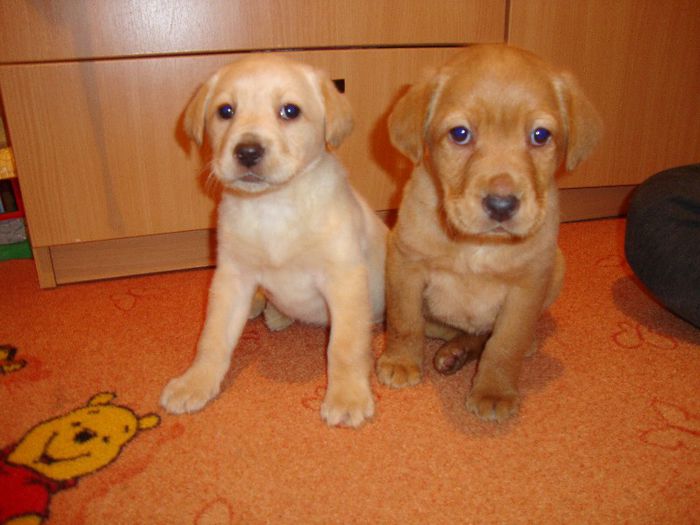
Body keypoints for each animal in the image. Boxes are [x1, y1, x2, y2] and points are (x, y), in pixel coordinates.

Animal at [161, 55, 386, 428]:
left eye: (290, 111)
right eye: (225, 111)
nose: (247, 151)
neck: (272, 205)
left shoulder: (345, 278)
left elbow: (345, 346)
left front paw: (347, 396)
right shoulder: (232, 278)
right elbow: (212, 338)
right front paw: (195, 382)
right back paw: (272, 313)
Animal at [378, 44, 600, 422]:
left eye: (540, 135)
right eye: (460, 133)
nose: (501, 204)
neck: (478, 244)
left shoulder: (528, 286)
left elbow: (505, 344)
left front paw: (494, 391)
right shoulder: (406, 263)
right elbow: (404, 321)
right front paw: (401, 362)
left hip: (557, 267)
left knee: (490, 337)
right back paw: (450, 352)